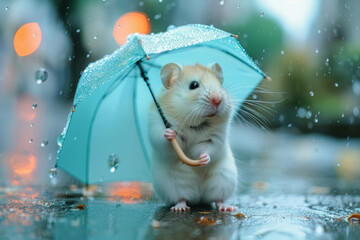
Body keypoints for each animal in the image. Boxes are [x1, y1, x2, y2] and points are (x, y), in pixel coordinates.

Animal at [148, 62, 238, 212]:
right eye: (194, 85)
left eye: (219, 84)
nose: (218, 99)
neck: (197, 123)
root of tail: (199, 198)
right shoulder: (155, 125)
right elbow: (163, 140)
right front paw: (170, 133)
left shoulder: (217, 136)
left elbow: (209, 147)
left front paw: (203, 158)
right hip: (173, 186)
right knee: (182, 198)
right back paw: (180, 208)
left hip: (224, 180)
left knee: (218, 199)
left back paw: (227, 208)